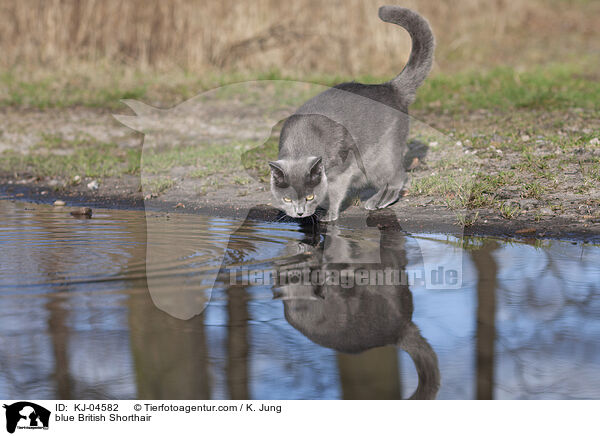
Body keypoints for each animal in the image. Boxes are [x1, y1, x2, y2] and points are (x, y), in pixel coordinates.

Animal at [270, 7, 434, 221]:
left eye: (309, 196)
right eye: (287, 199)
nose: (299, 212)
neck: (300, 145)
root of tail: (391, 87)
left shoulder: (342, 171)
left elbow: (335, 192)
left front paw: (329, 214)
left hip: (378, 159)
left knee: (398, 176)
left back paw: (378, 201)